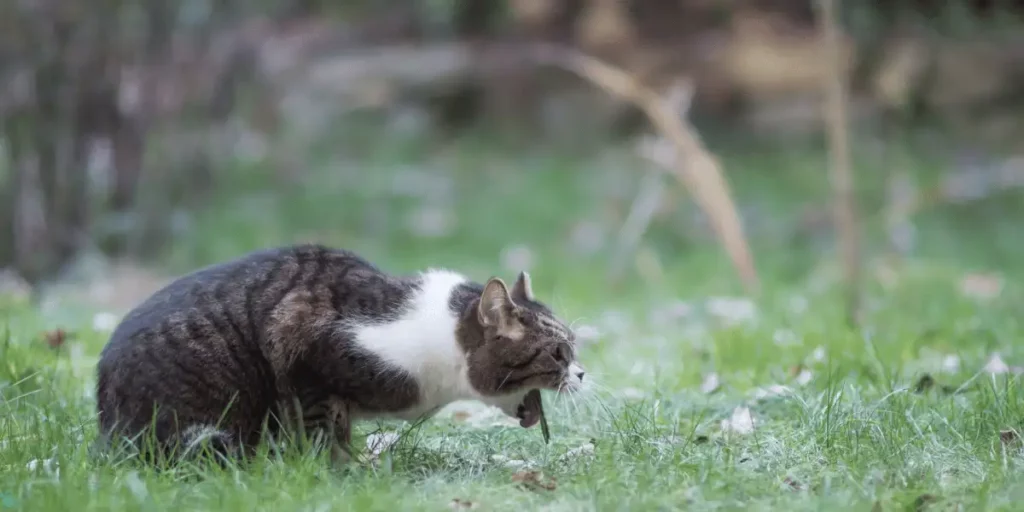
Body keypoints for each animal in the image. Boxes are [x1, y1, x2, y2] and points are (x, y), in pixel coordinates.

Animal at [96, 244, 585, 464]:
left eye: (574, 349)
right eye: (558, 353)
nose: (582, 373)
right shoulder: (304, 347)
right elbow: (323, 428)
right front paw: (339, 470)